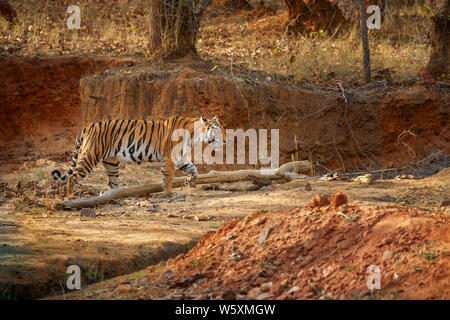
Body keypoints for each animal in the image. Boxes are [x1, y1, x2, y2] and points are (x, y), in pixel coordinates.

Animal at [51, 115, 225, 195]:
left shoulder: (182, 159)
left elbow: (194, 171)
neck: (194, 135)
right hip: (90, 156)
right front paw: (170, 193)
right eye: (217, 130)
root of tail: (88, 126)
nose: (225, 140)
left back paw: (117, 195)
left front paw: (189, 181)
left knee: (112, 183)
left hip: (111, 163)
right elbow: (168, 177)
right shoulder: (169, 158)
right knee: (73, 176)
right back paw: (71, 196)